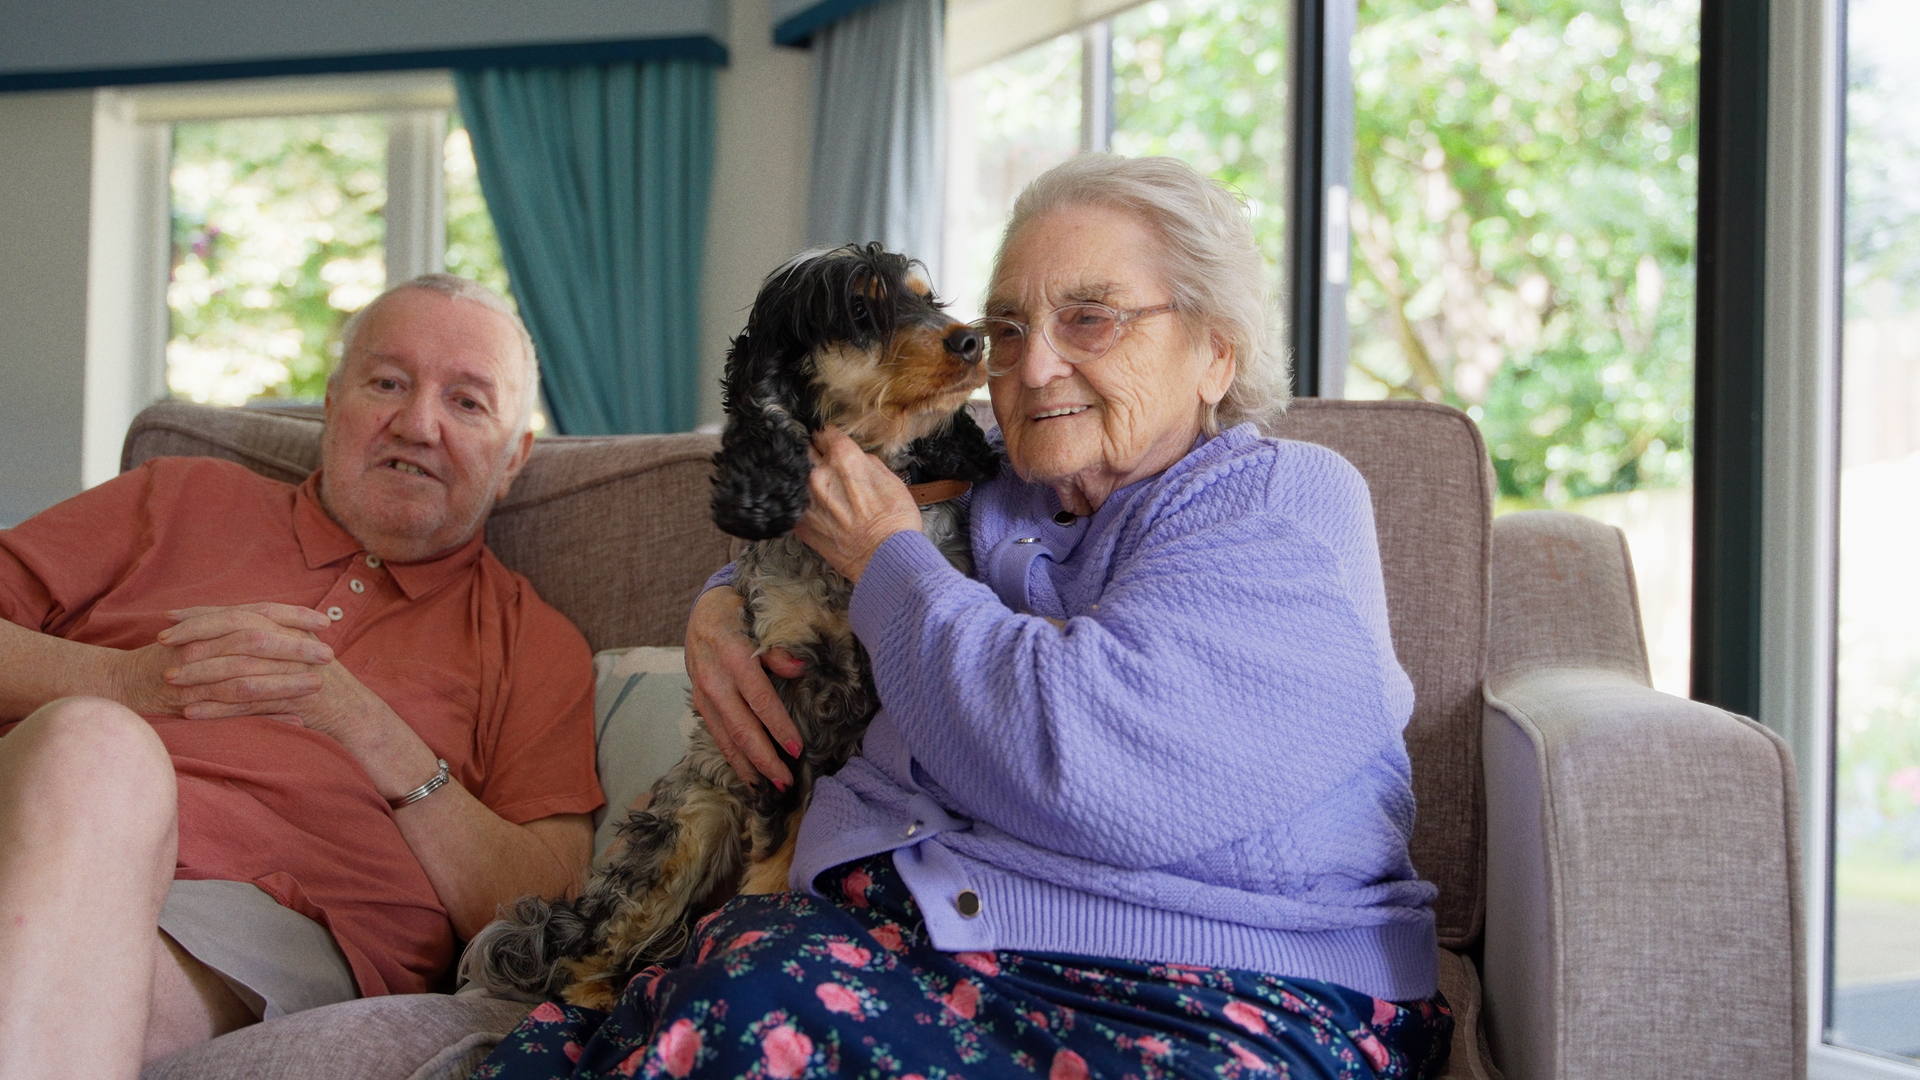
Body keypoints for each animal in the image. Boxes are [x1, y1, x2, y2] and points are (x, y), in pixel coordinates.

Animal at [470, 242, 998, 999]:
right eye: (860, 311)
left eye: (929, 301)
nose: (972, 341)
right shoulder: (784, 689)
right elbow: (785, 824)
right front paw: (766, 900)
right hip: (690, 827)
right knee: (587, 956)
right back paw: (599, 990)